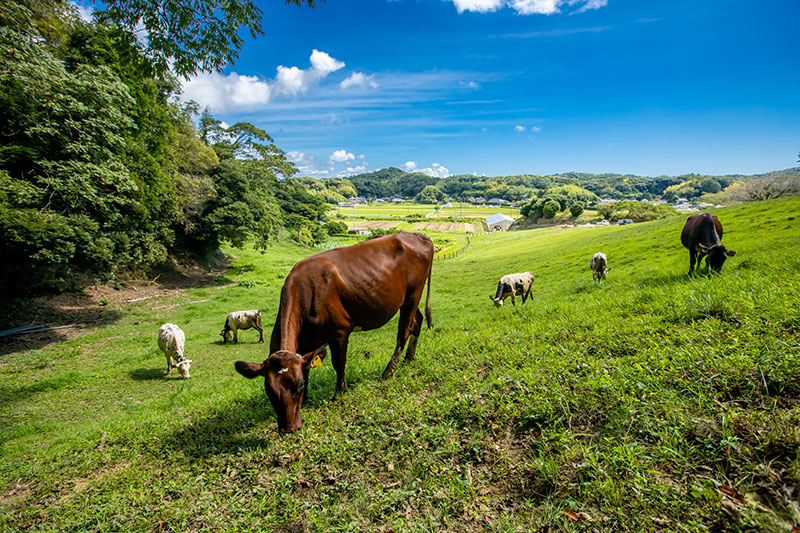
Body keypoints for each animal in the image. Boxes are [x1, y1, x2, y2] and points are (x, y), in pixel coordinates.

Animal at [234, 233, 434, 432]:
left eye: (299, 386)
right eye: (269, 391)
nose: (290, 428)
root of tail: (417, 235)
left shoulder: (340, 331)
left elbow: (339, 363)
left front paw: (340, 392)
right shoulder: (306, 344)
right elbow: (307, 367)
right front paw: (306, 401)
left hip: (413, 293)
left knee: (404, 331)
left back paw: (389, 371)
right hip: (406, 299)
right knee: (417, 321)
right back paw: (409, 358)